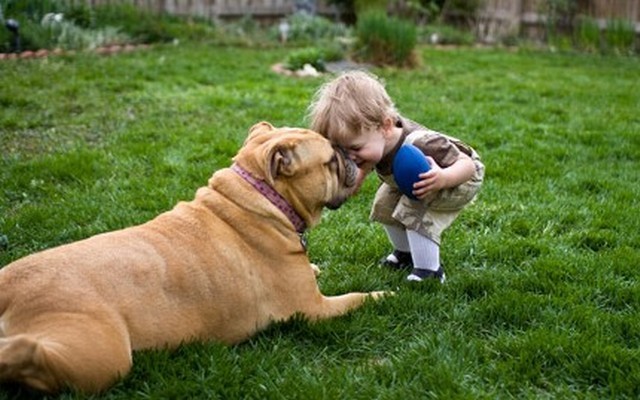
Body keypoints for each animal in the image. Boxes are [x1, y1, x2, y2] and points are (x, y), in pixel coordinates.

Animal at [0, 122, 388, 394]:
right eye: (330, 160)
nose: (346, 152)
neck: (262, 198)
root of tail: (7, 286)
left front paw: (317, 266)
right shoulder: (314, 309)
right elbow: (358, 297)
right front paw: (384, 295)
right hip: (101, 351)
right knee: (29, 355)